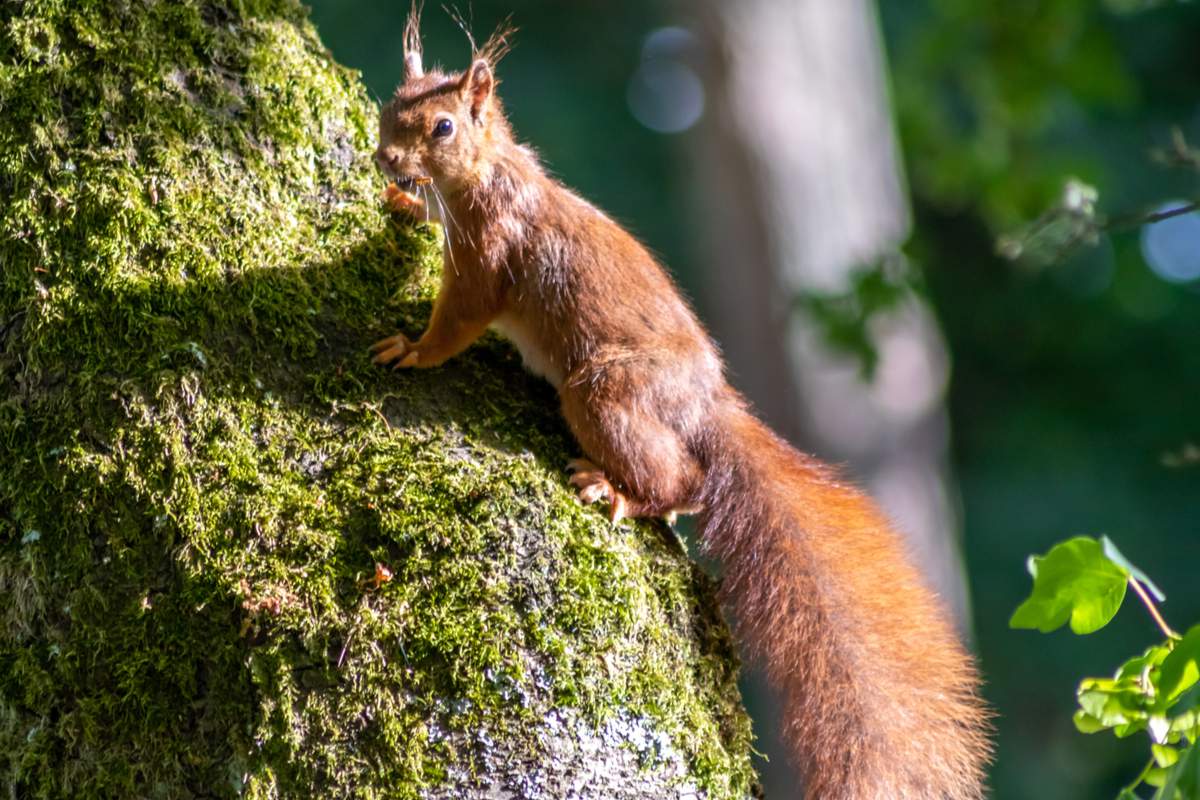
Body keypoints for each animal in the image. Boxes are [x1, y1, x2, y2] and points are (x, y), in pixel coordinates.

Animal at [369, 10, 988, 796]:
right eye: (393, 106)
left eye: (443, 127)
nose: (384, 158)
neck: (489, 174)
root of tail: (707, 408)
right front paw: (400, 205)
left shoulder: (490, 253)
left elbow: (457, 321)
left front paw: (411, 348)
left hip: (605, 390)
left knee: (682, 482)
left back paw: (617, 491)